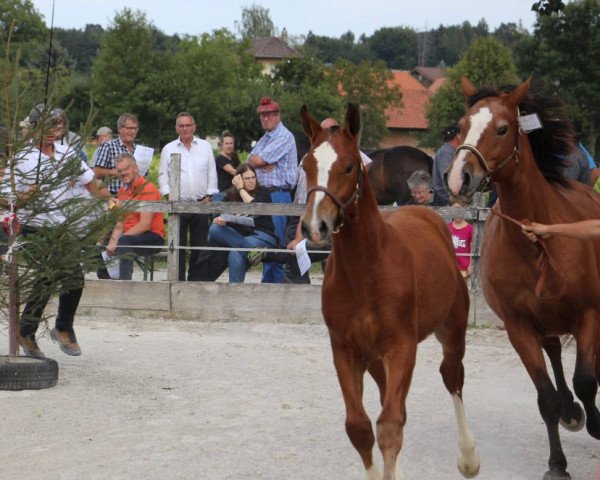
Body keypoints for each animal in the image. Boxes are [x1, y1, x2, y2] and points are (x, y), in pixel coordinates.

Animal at [300, 104, 478, 480]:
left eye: (349, 166)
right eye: (306, 165)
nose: (314, 226)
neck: (365, 272)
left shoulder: (401, 346)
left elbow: (390, 426)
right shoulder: (345, 350)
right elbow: (360, 427)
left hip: (451, 329)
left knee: (452, 376)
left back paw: (469, 458)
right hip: (373, 357)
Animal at [446, 77, 600, 478]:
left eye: (502, 128)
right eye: (461, 126)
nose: (458, 177)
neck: (537, 242)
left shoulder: (589, 315)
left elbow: (586, 380)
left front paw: (596, 423)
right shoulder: (520, 326)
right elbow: (546, 397)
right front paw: (558, 463)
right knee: (555, 353)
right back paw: (570, 411)